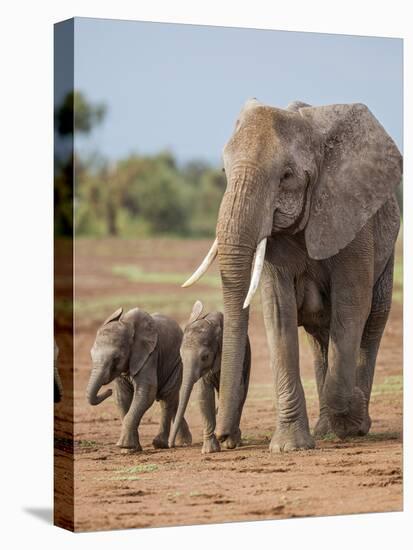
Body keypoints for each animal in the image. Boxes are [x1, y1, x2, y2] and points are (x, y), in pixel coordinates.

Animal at [86, 306, 192, 452]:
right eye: (91, 356)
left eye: (116, 358)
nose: (108, 391)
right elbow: (122, 397)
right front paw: (131, 449)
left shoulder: (150, 355)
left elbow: (146, 393)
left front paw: (125, 446)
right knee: (173, 400)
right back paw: (184, 442)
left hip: (177, 363)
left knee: (166, 398)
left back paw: (160, 444)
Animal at [168, 304, 251, 454]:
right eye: (180, 355)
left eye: (205, 357)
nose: (170, 445)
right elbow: (204, 395)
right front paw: (209, 451)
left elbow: (236, 391)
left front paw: (228, 443)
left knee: (242, 394)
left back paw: (234, 441)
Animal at [183, 101, 400, 454]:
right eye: (224, 173)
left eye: (286, 176)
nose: (225, 438)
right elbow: (278, 313)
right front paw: (290, 447)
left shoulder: (352, 220)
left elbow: (352, 305)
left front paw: (351, 416)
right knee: (320, 336)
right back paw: (327, 430)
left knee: (372, 321)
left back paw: (352, 424)